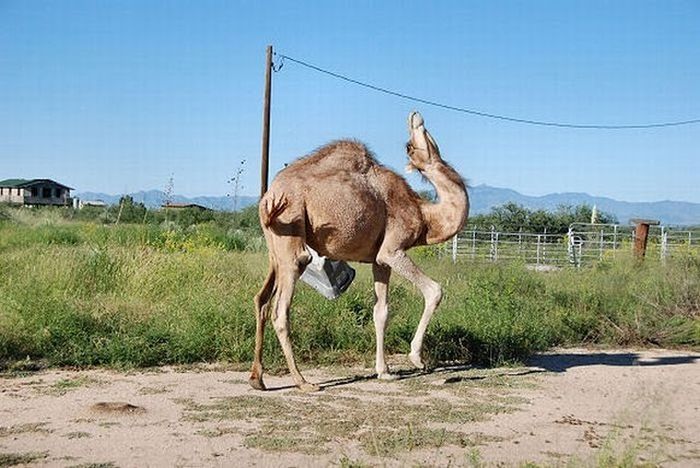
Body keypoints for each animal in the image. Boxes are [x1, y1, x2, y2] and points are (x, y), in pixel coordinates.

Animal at [249, 110, 468, 392]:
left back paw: (257, 379)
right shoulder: (393, 249)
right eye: (409, 145)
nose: (415, 117)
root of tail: (268, 198)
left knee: (262, 299)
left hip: (275, 249)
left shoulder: (379, 260)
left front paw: (385, 372)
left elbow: (381, 311)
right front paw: (417, 358)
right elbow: (434, 290)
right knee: (281, 310)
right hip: (292, 234)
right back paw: (303, 382)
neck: (425, 216)